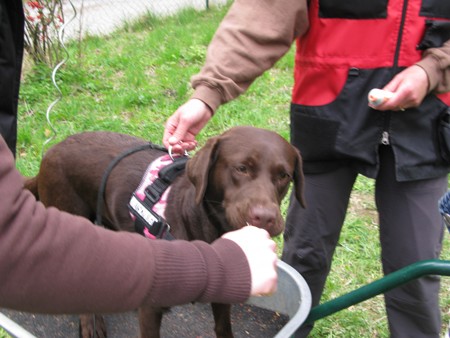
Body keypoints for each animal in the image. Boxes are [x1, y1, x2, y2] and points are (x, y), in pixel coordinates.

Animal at [24, 127, 306, 338]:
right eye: (241, 168)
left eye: (284, 176)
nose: (265, 218)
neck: (204, 225)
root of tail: (51, 151)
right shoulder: (151, 309)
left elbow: (223, 328)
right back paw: (91, 324)